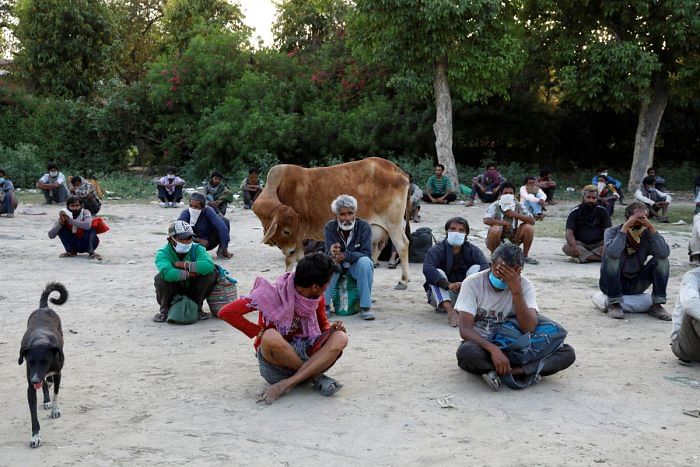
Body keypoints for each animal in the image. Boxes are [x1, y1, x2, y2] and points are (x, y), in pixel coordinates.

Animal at [18, 284, 68, 448]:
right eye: (30, 362)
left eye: (45, 361)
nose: (34, 380)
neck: (40, 339)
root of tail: (43, 307)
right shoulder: (31, 384)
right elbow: (33, 414)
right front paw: (35, 436)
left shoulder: (58, 373)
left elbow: (56, 393)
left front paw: (55, 410)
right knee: (45, 383)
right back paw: (46, 398)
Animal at [253, 159, 410, 288]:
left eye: (287, 230)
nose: (289, 249)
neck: (280, 187)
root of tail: (397, 170)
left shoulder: (298, 238)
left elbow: (291, 260)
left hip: (393, 224)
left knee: (401, 246)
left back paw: (403, 280)